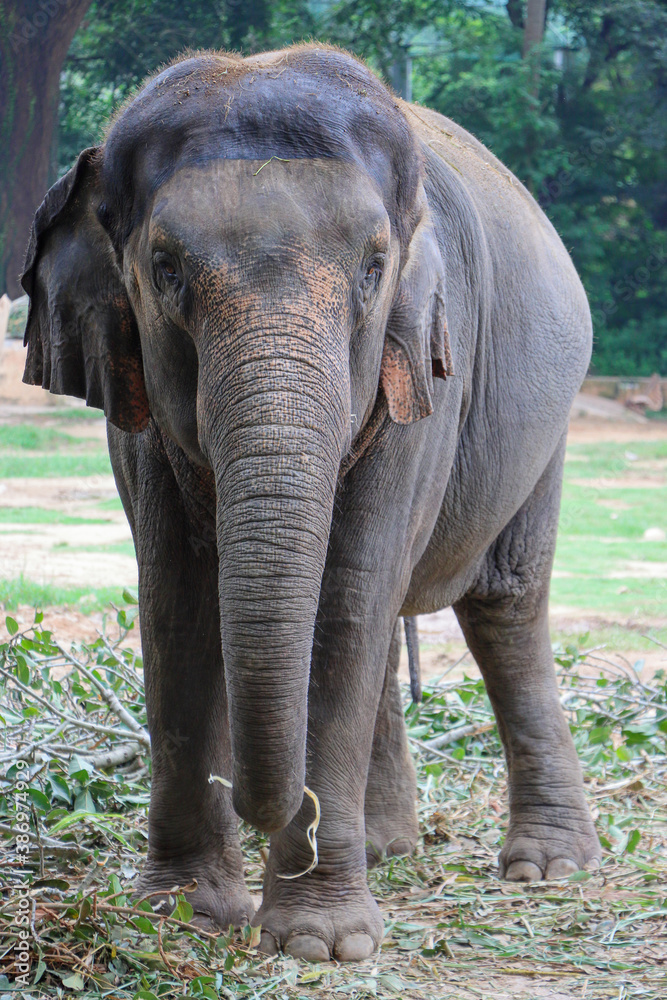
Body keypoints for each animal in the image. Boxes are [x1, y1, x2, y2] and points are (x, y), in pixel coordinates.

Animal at [21, 44, 601, 962]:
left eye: (372, 269)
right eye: (165, 270)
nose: (268, 806)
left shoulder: (424, 369)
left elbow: (348, 597)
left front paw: (320, 943)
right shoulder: (135, 395)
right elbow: (175, 599)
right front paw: (182, 915)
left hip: (545, 426)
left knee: (503, 605)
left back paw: (546, 867)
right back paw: (385, 847)